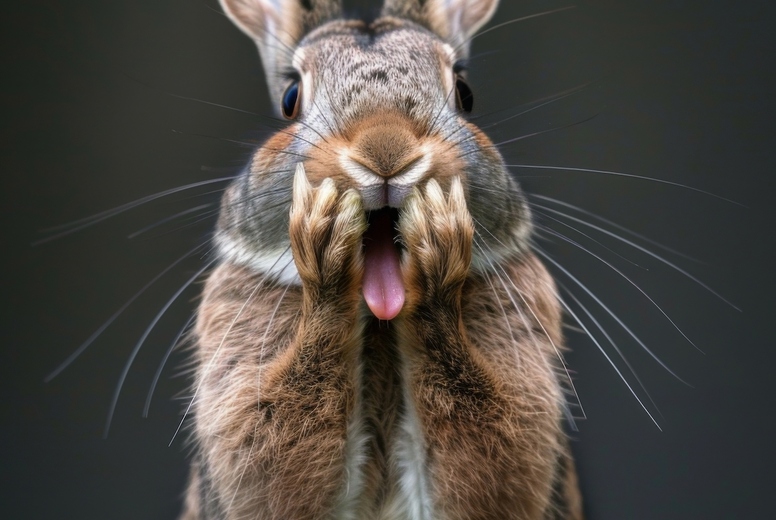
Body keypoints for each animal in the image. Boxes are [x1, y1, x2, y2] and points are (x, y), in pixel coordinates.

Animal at [181, 0, 584, 518]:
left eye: (465, 93)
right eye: (291, 98)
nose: (386, 150)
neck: (380, 318)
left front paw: (438, 242)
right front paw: (323, 238)